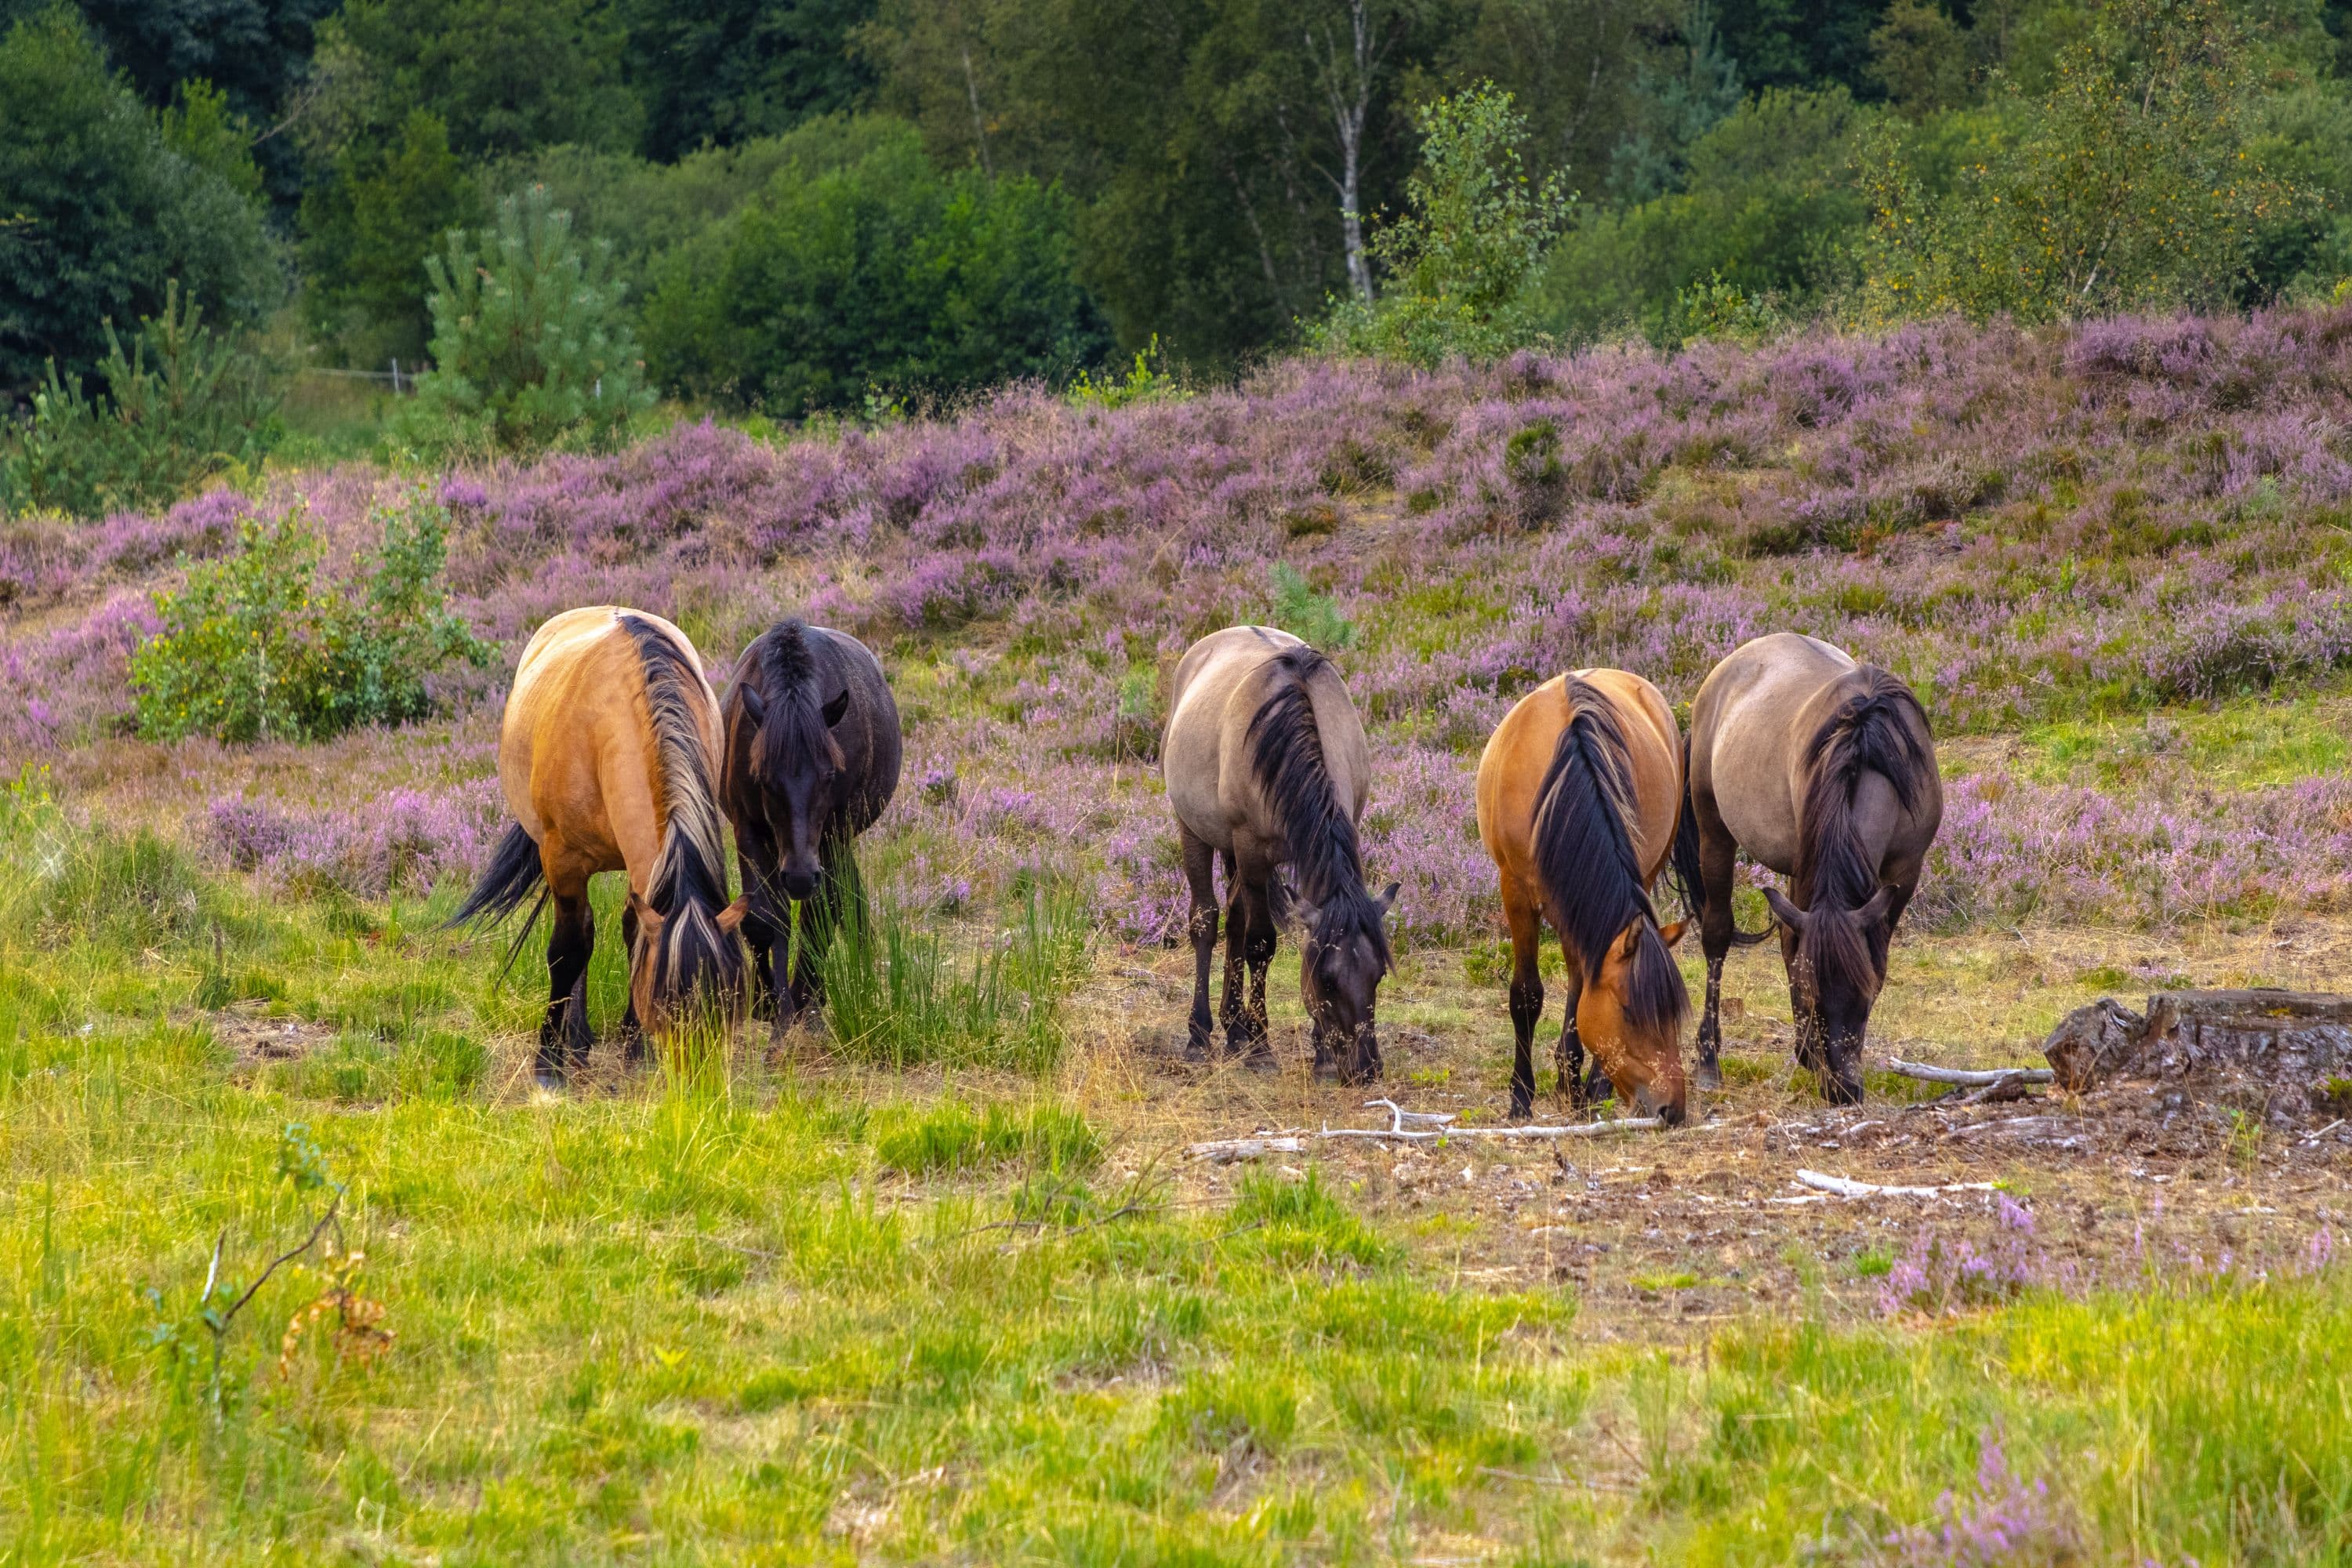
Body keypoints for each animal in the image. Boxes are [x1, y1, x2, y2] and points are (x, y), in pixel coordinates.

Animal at [447, 606, 743, 1086]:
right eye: (667, 1006)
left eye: (726, 1007)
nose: (698, 1086)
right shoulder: (562, 861)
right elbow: (568, 950)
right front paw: (548, 1062)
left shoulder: (643, 867)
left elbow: (634, 936)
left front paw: (635, 1046)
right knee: (579, 931)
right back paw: (577, 1037)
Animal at [715, 615, 898, 1044]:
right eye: (763, 778)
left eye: (829, 774)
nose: (799, 876)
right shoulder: (749, 830)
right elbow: (762, 918)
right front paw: (769, 1002)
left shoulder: (830, 837)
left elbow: (820, 914)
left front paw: (803, 1001)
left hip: (835, 842)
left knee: (837, 903)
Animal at [1157, 625, 1392, 1081]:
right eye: (1328, 981)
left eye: (1377, 977)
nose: (1365, 1069)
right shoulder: (1252, 851)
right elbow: (1261, 944)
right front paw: (1262, 1046)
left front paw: (1319, 1053)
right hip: (1195, 831)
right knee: (1207, 921)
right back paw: (1201, 1034)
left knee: (1234, 920)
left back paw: (1234, 1029)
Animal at [1468, 667, 1693, 1123]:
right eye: (1630, 1012)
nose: (1673, 1110)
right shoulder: (1516, 892)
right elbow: (1526, 994)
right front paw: (1521, 1097)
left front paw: (1579, 1083)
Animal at [1684, 634, 1938, 1105]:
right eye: (1809, 996)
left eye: (1865, 998)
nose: (1843, 1091)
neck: (1870, 751)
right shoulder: (1807, 867)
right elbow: (1794, 953)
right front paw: (1808, 1054)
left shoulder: (1903, 875)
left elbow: (1870, 955)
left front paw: (1810, 1055)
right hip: (1715, 833)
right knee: (1718, 935)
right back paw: (1709, 1062)